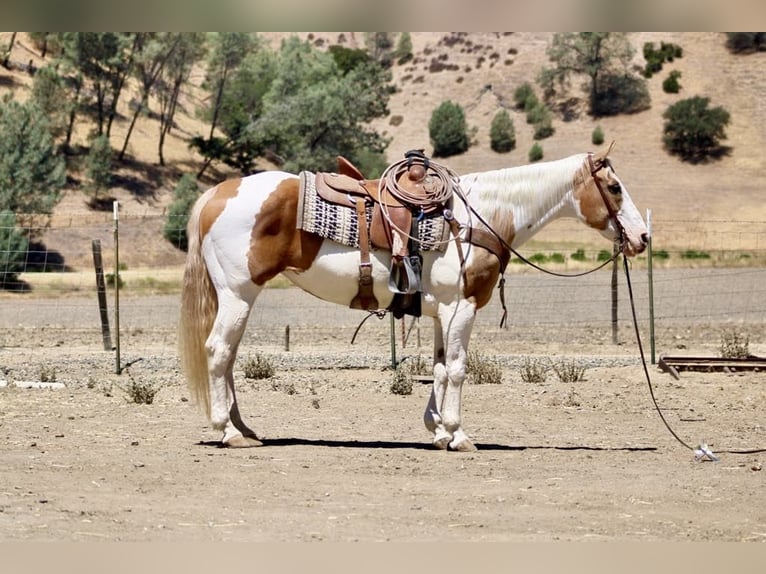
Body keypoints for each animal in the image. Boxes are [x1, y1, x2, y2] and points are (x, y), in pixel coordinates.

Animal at [179, 146, 649, 451]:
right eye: (615, 187)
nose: (643, 237)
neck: (479, 218)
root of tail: (218, 193)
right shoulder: (462, 307)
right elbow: (458, 369)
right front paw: (459, 434)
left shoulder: (442, 313)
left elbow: (439, 368)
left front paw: (438, 431)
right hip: (238, 294)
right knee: (218, 352)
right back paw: (229, 432)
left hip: (239, 298)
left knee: (228, 357)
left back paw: (244, 428)